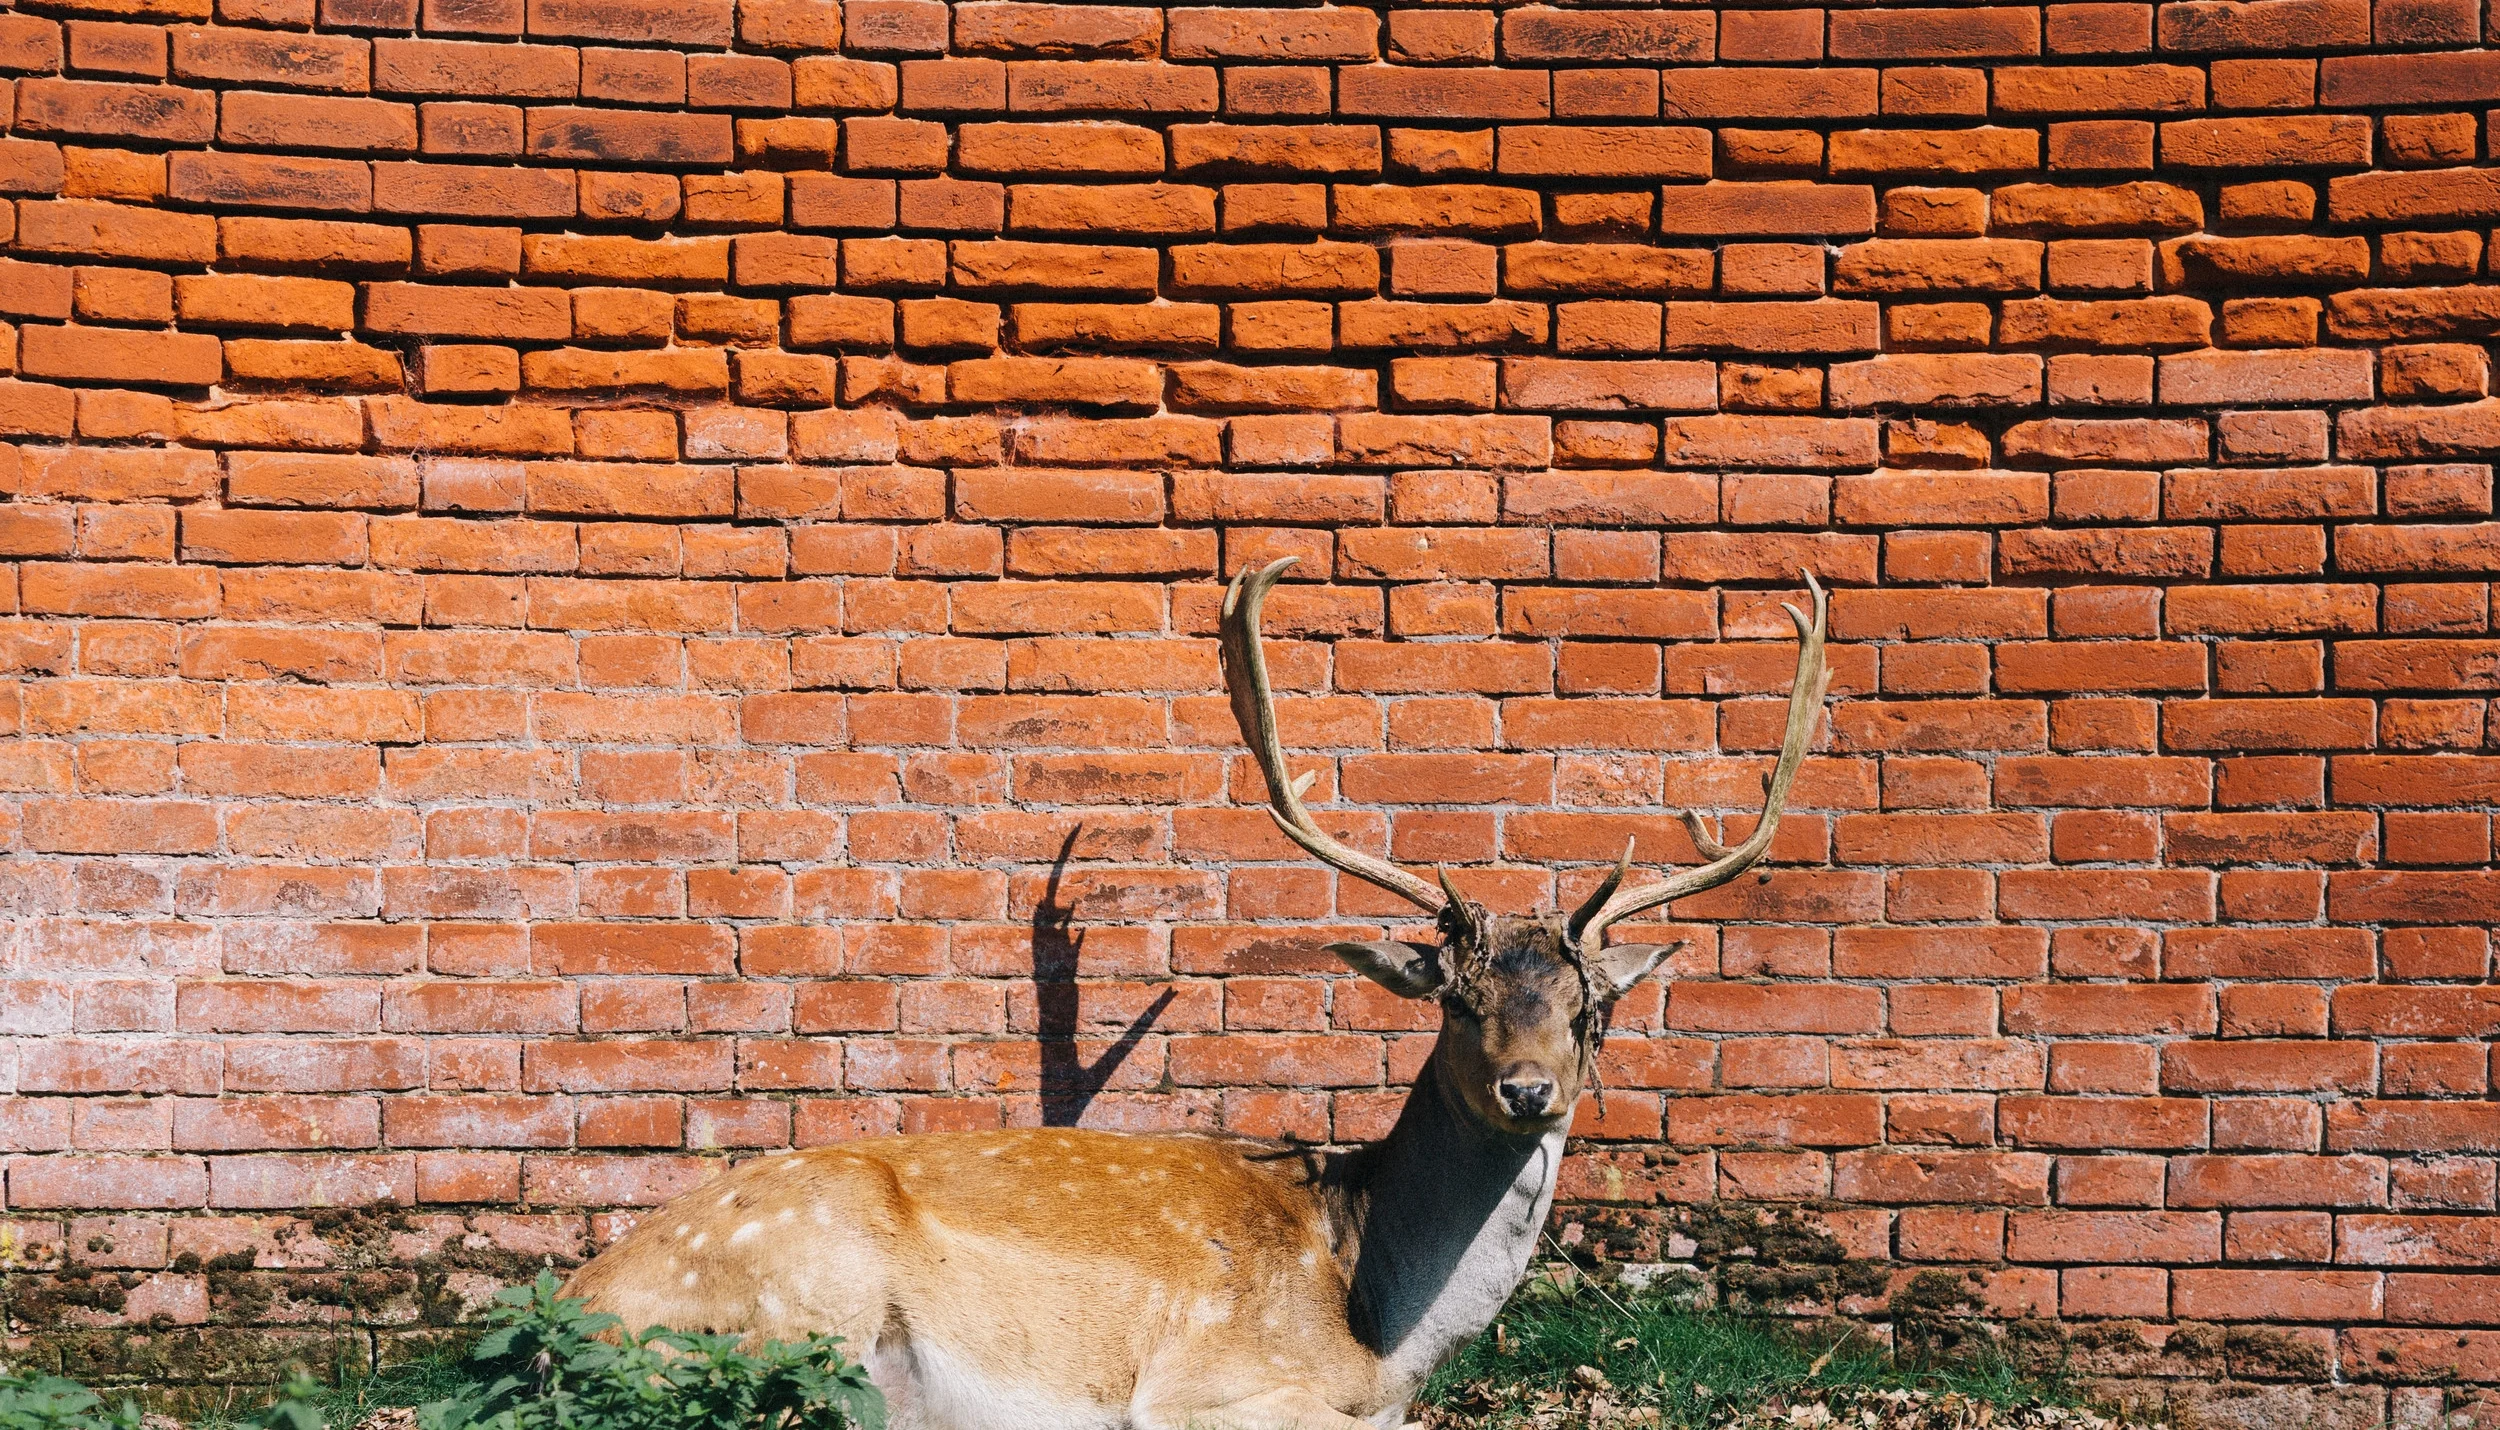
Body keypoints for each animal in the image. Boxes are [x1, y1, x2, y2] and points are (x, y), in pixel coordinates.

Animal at [562, 557, 1833, 1430]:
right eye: (1455, 998)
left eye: (1591, 1010)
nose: (1528, 1089)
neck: (1374, 1332)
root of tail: (572, 1304)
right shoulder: (1207, 1383)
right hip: (802, 1307)